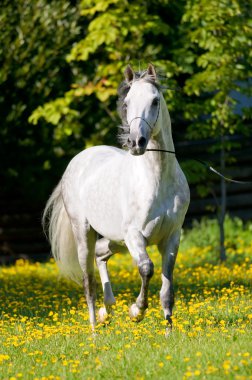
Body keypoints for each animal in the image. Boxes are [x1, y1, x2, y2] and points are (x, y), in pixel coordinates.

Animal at [43, 64, 189, 330]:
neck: (157, 180)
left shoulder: (172, 237)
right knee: (88, 281)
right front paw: (136, 311)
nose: (136, 142)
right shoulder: (134, 235)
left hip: (115, 240)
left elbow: (167, 290)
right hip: (86, 234)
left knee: (101, 254)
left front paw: (169, 332)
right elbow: (146, 268)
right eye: (127, 103)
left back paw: (107, 310)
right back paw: (94, 330)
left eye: (155, 101)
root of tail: (78, 160)